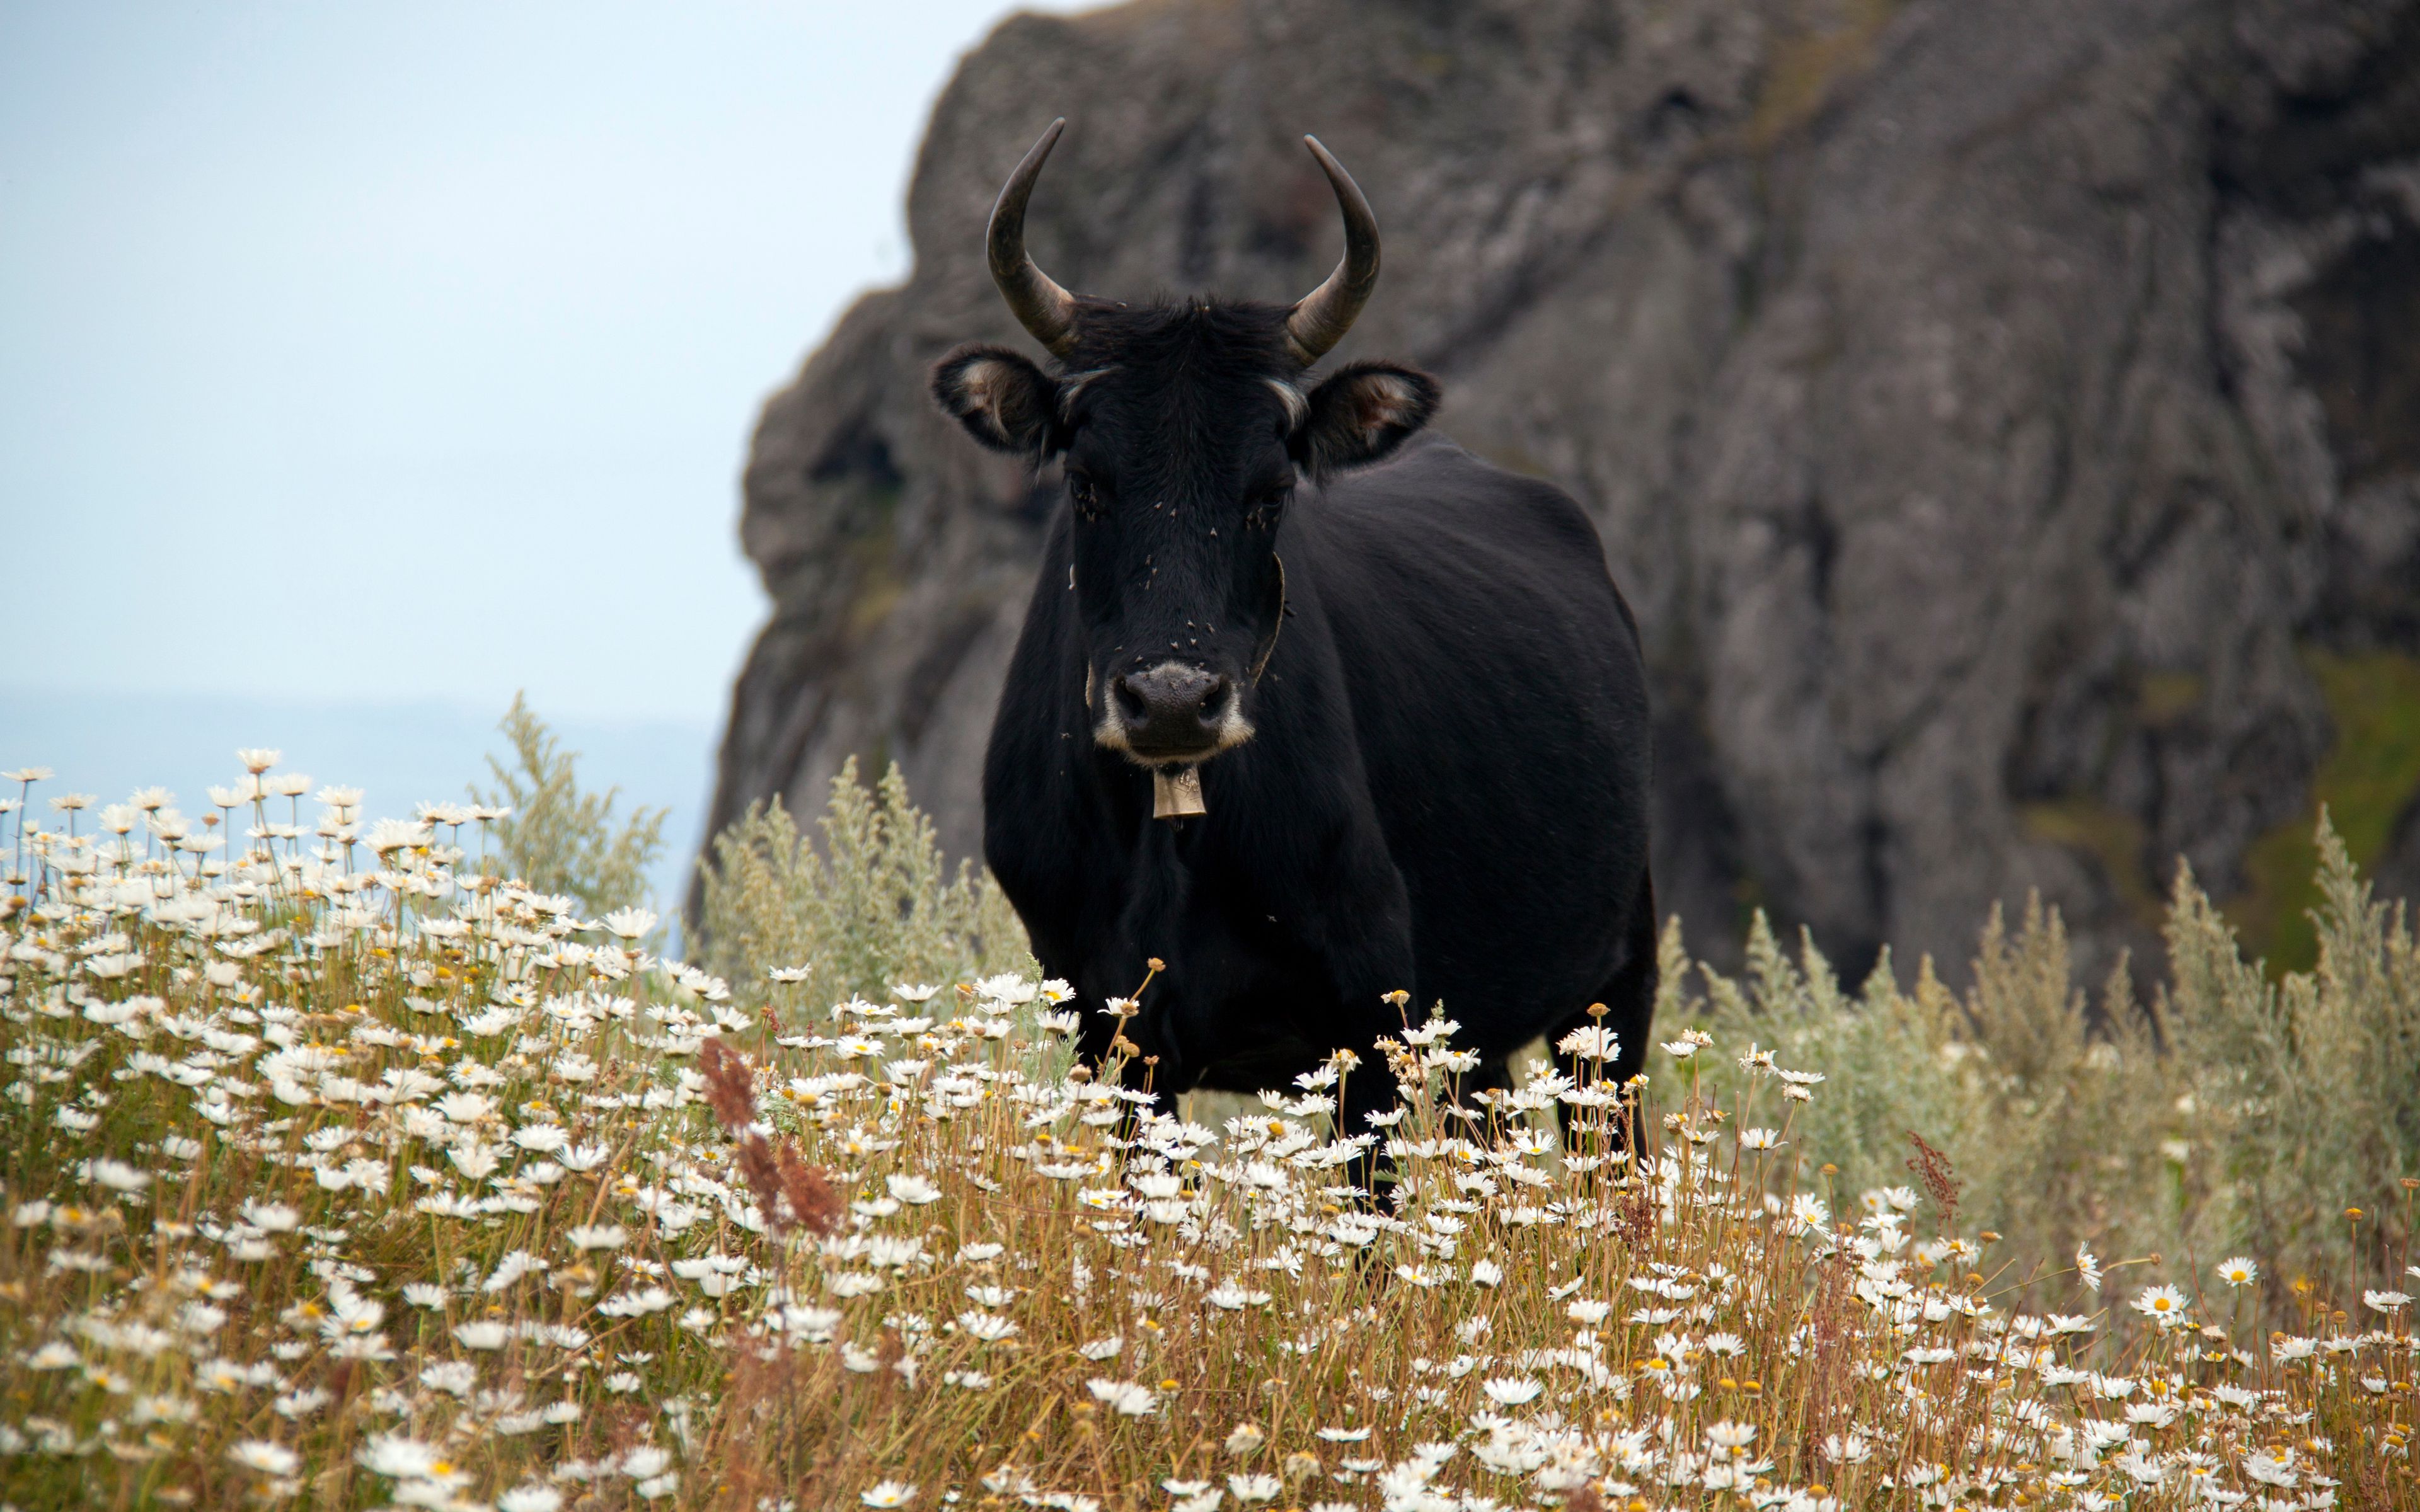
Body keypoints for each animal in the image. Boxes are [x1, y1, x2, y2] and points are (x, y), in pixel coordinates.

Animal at [934, 121, 1655, 1156]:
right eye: (1086, 483)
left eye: (1269, 493)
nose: (1172, 700)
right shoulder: (1110, 1031)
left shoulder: (1370, 1019)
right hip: (1478, 1036)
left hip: (1613, 989)